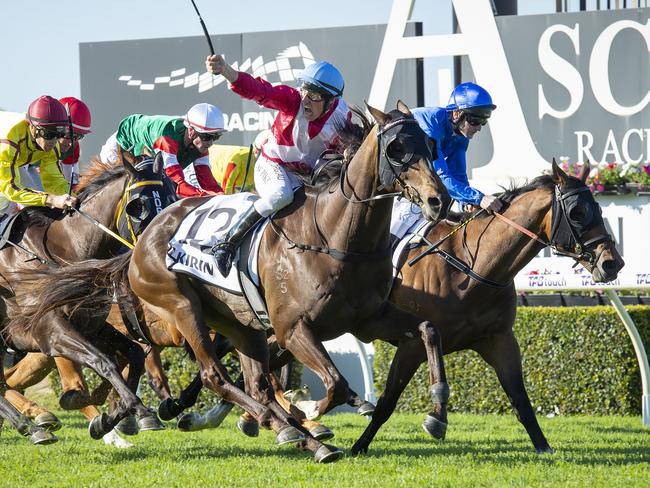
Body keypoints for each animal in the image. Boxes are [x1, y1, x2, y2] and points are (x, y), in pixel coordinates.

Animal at [0, 152, 175, 442]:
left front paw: (108, 418)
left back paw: (32, 427)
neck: (65, 254)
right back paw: (35, 424)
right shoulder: (50, 329)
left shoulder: (92, 325)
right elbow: (103, 361)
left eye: (171, 197)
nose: (157, 253)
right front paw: (135, 408)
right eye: (138, 206)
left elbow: (135, 354)